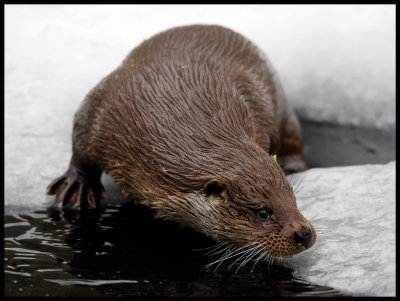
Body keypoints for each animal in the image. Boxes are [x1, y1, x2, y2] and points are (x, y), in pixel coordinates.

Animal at [47, 25, 316, 260]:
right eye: (262, 212)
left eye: (293, 199)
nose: (303, 234)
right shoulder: (104, 105)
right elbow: (81, 137)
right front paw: (78, 185)